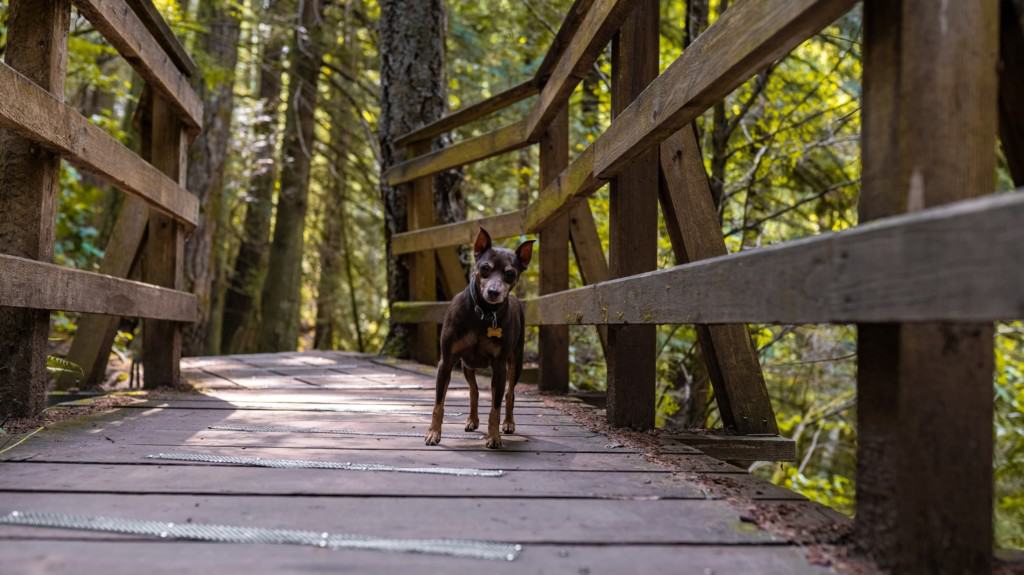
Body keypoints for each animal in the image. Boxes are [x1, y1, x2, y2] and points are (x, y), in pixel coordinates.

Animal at [423, 225, 536, 448]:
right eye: (485, 268)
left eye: (510, 274)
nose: (493, 292)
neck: (483, 313)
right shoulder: (447, 361)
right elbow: (439, 403)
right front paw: (433, 433)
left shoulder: (499, 366)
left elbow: (495, 407)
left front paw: (494, 436)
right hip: (467, 365)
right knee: (474, 391)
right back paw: (472, 420)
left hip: (515, 361)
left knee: (509, 393)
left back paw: (508, 423)